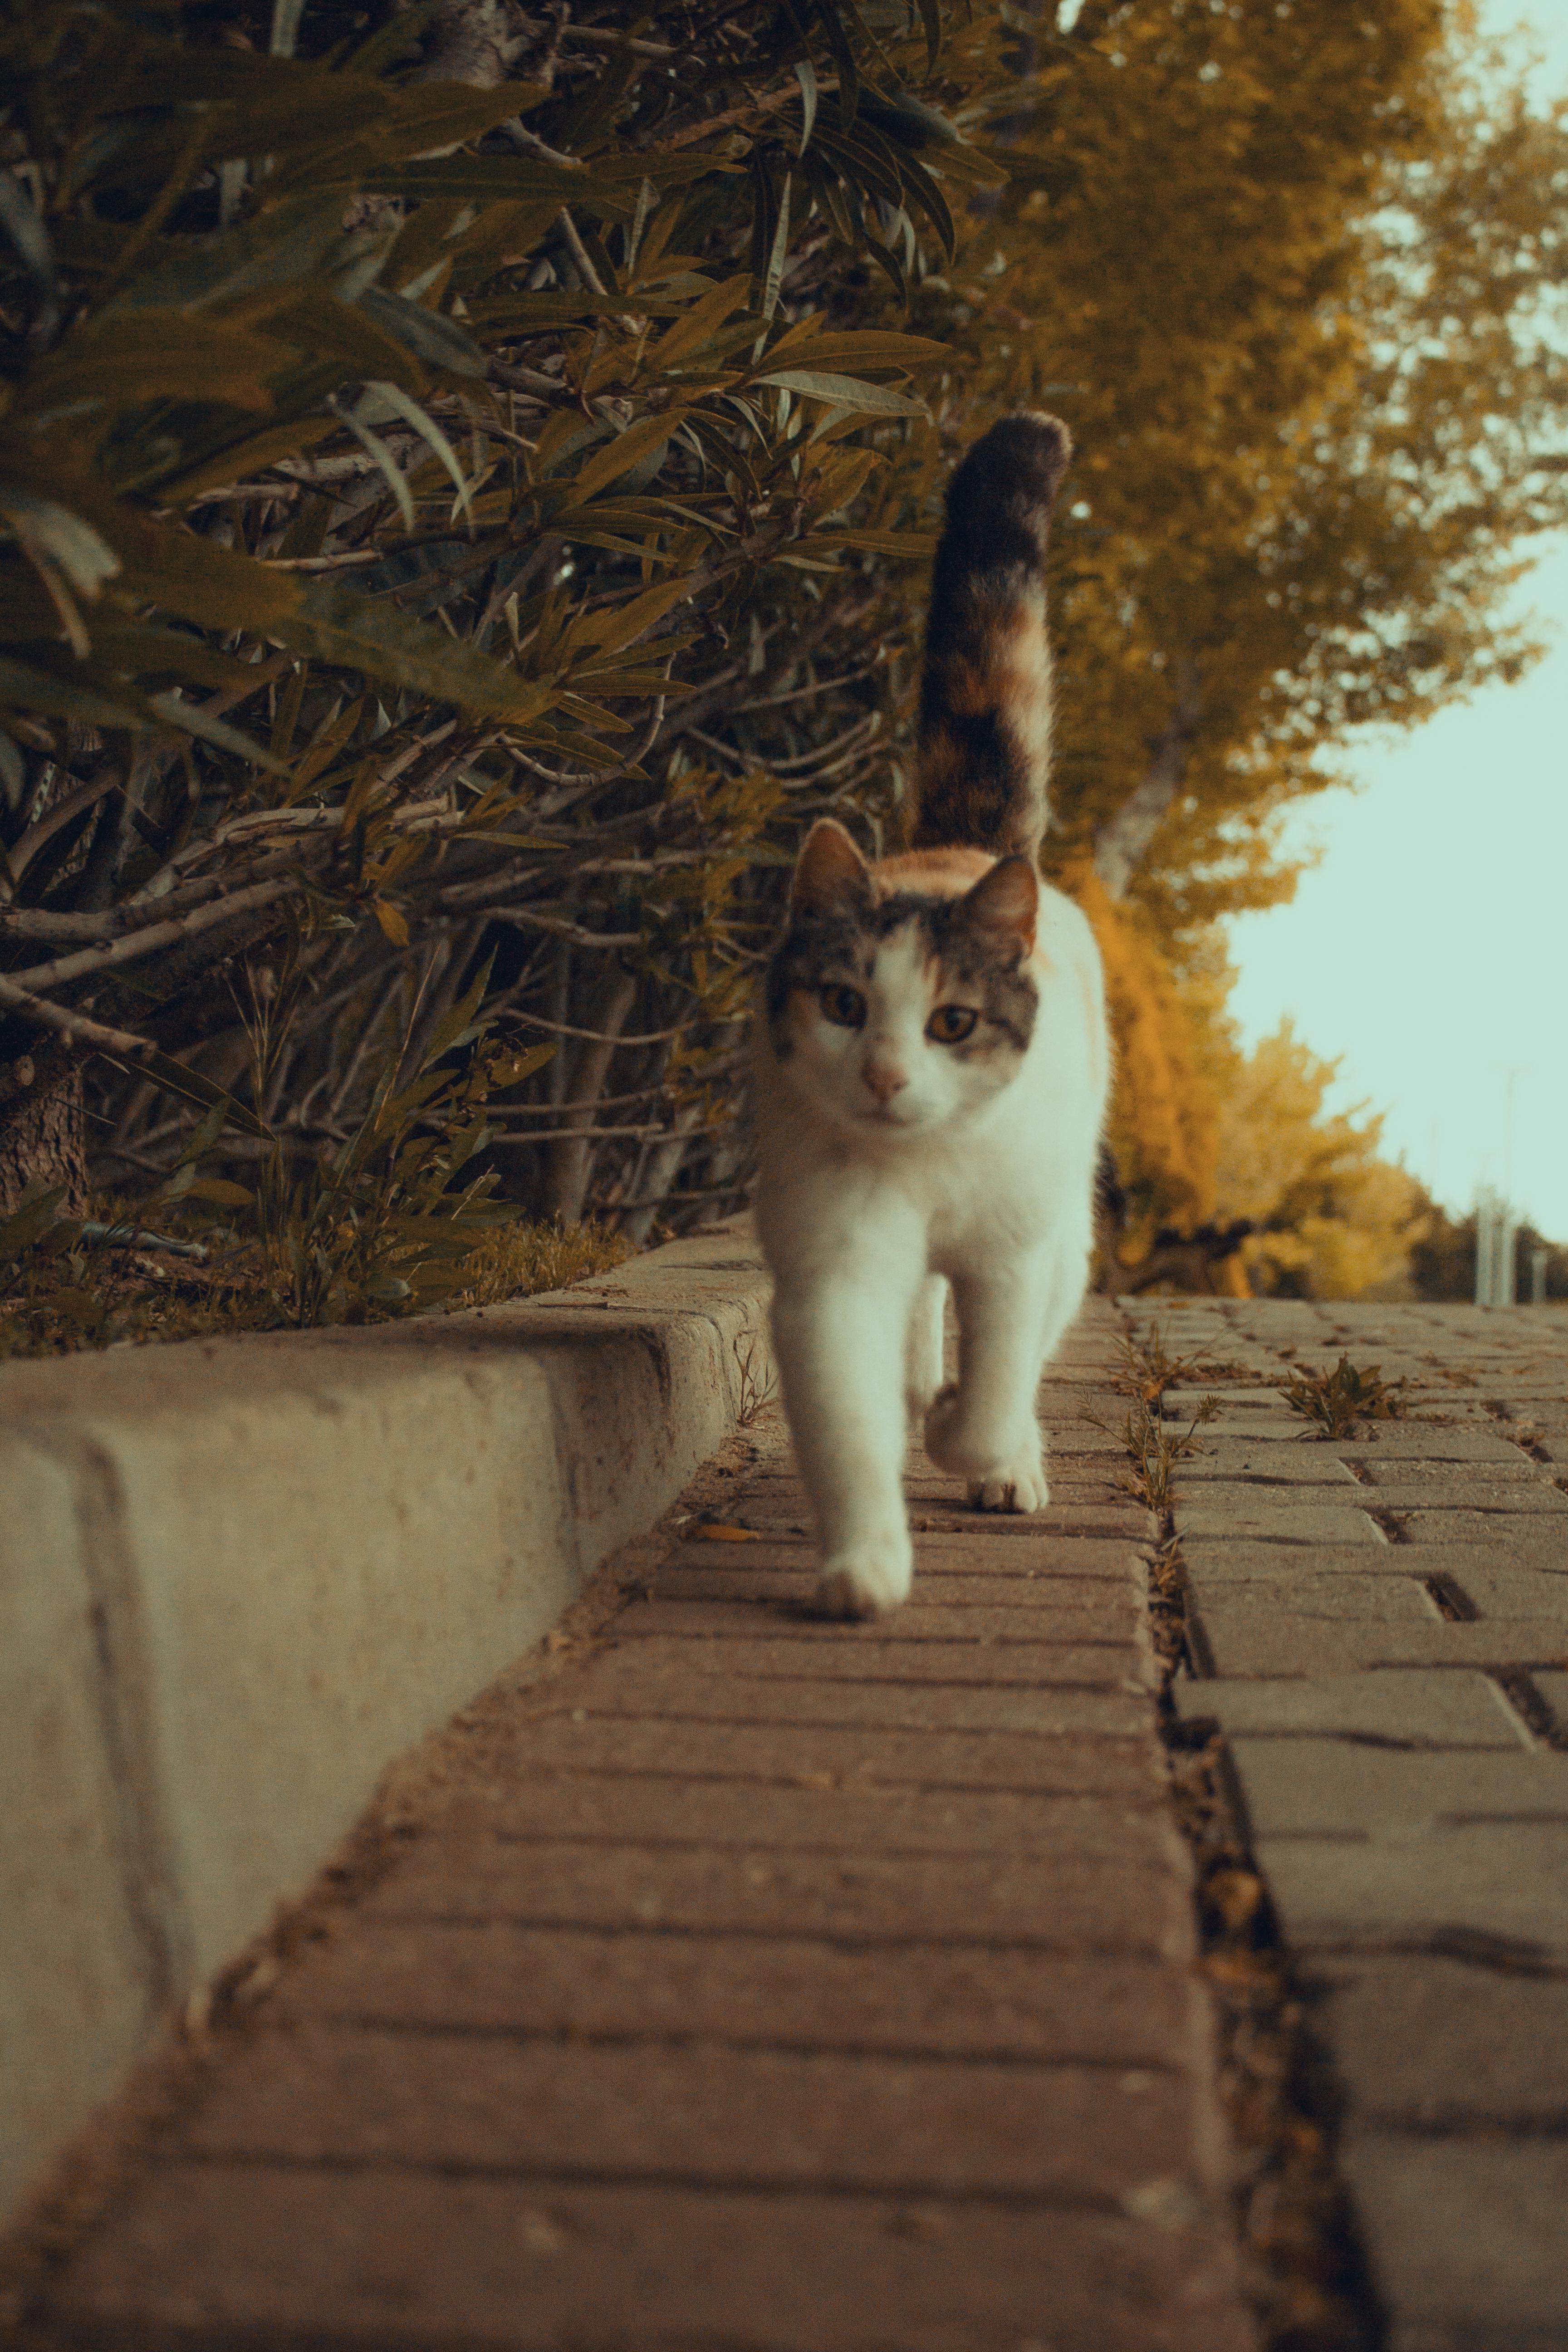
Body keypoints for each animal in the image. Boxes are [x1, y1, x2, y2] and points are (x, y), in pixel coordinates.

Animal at [752, 414, 1109, 1618]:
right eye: (843, 1004)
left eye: (952, 1023)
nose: (884, 1077)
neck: (929, 1171)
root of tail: (959, 848)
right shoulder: (832, 1268)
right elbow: (850, 1420)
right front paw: (862, 1563)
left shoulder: (1015, 1253)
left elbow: (998, 1382)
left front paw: (980, 1442)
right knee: (914, 1330)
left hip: (1071, 1225)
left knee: (1034, 1337)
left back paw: (1001, 1454)